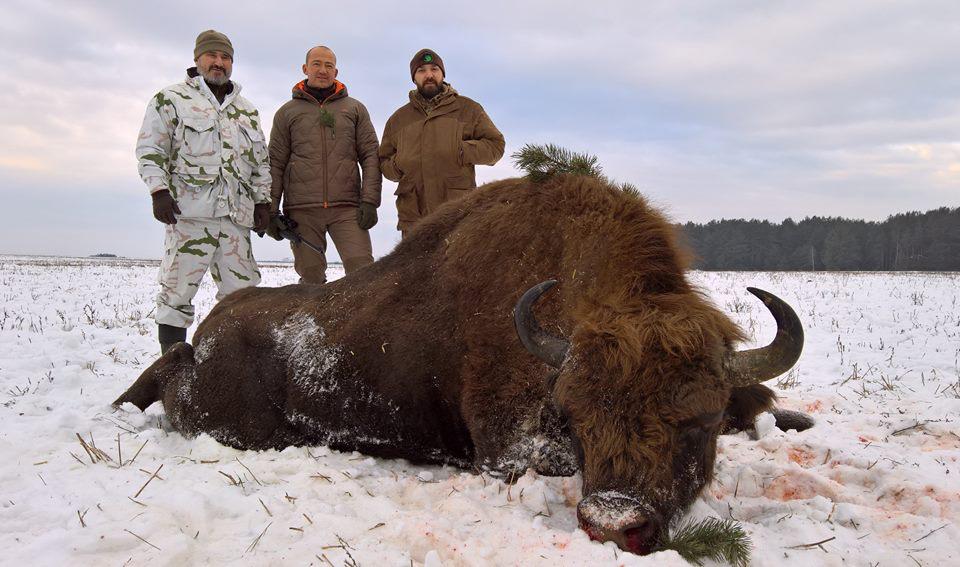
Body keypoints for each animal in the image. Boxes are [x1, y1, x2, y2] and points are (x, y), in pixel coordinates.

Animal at [114, 175, 808, 556]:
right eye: (576, 418)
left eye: (699, 421)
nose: (613, 525)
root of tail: (209, 335)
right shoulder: (511, 449)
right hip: (231, 423)